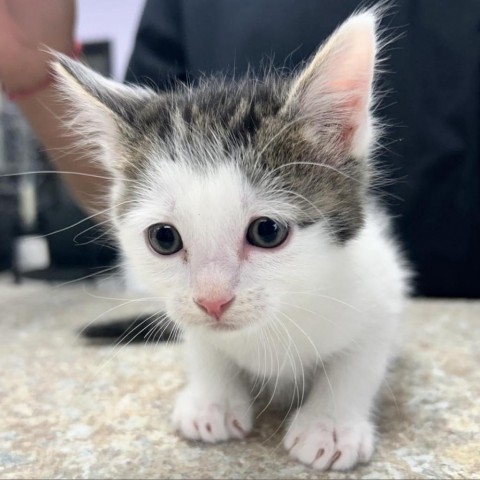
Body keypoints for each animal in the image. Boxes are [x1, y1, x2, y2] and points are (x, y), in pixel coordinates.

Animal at [55, 12, 408, 472]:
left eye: (267, 231)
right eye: (164, 238)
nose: (212, 301)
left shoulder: (381, 289)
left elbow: (357, 362)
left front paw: (329, 424)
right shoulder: (189, 317)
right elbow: (205, 348)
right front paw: (213, 402)